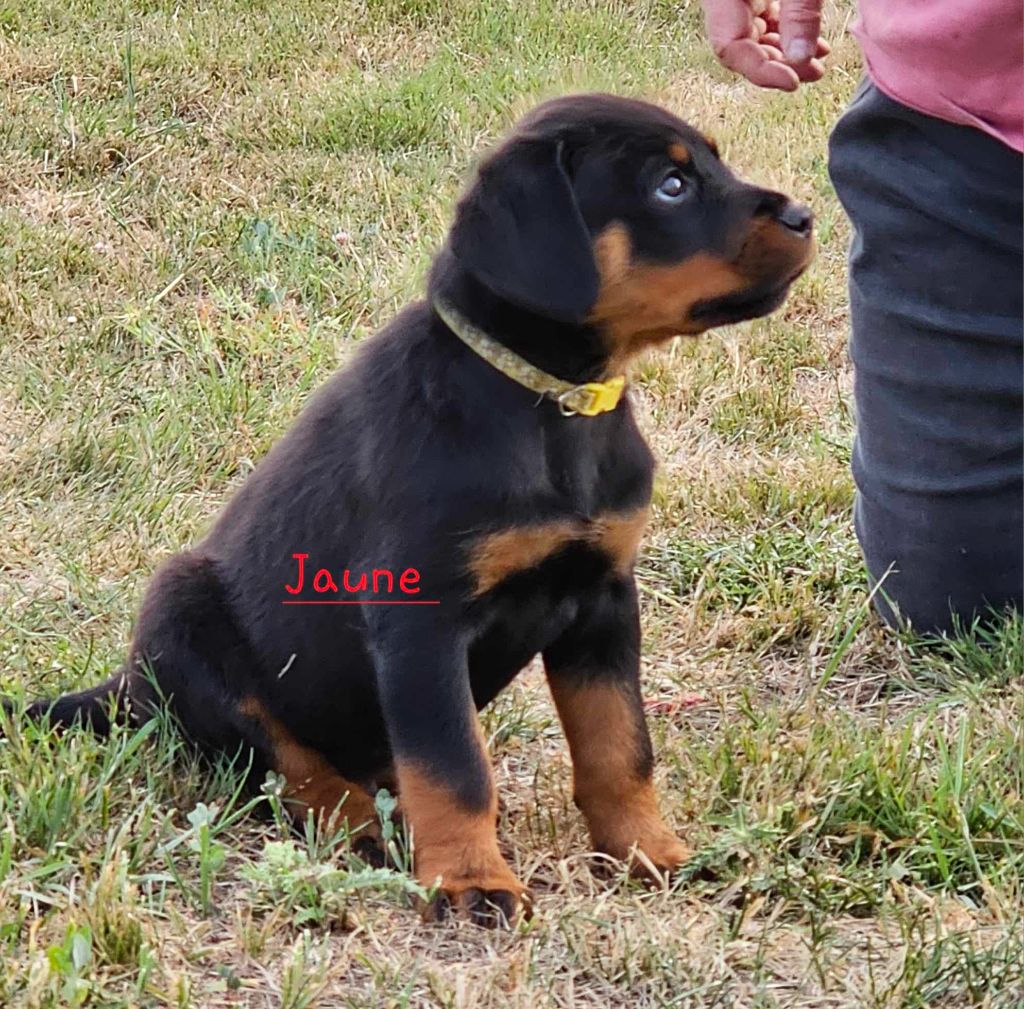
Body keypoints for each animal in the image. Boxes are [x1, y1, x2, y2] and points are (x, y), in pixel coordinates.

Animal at [14, 94, 813, 926]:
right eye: (670, 185)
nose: (805, 214)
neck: (551, 405)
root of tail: (128, 687)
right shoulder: (419, 617)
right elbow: (455, 764)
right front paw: (471, 878)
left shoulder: (603, 601)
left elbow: (619, 743)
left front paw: (646, 850)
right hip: (185, 615)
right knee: (283, 762)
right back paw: (354, 817)